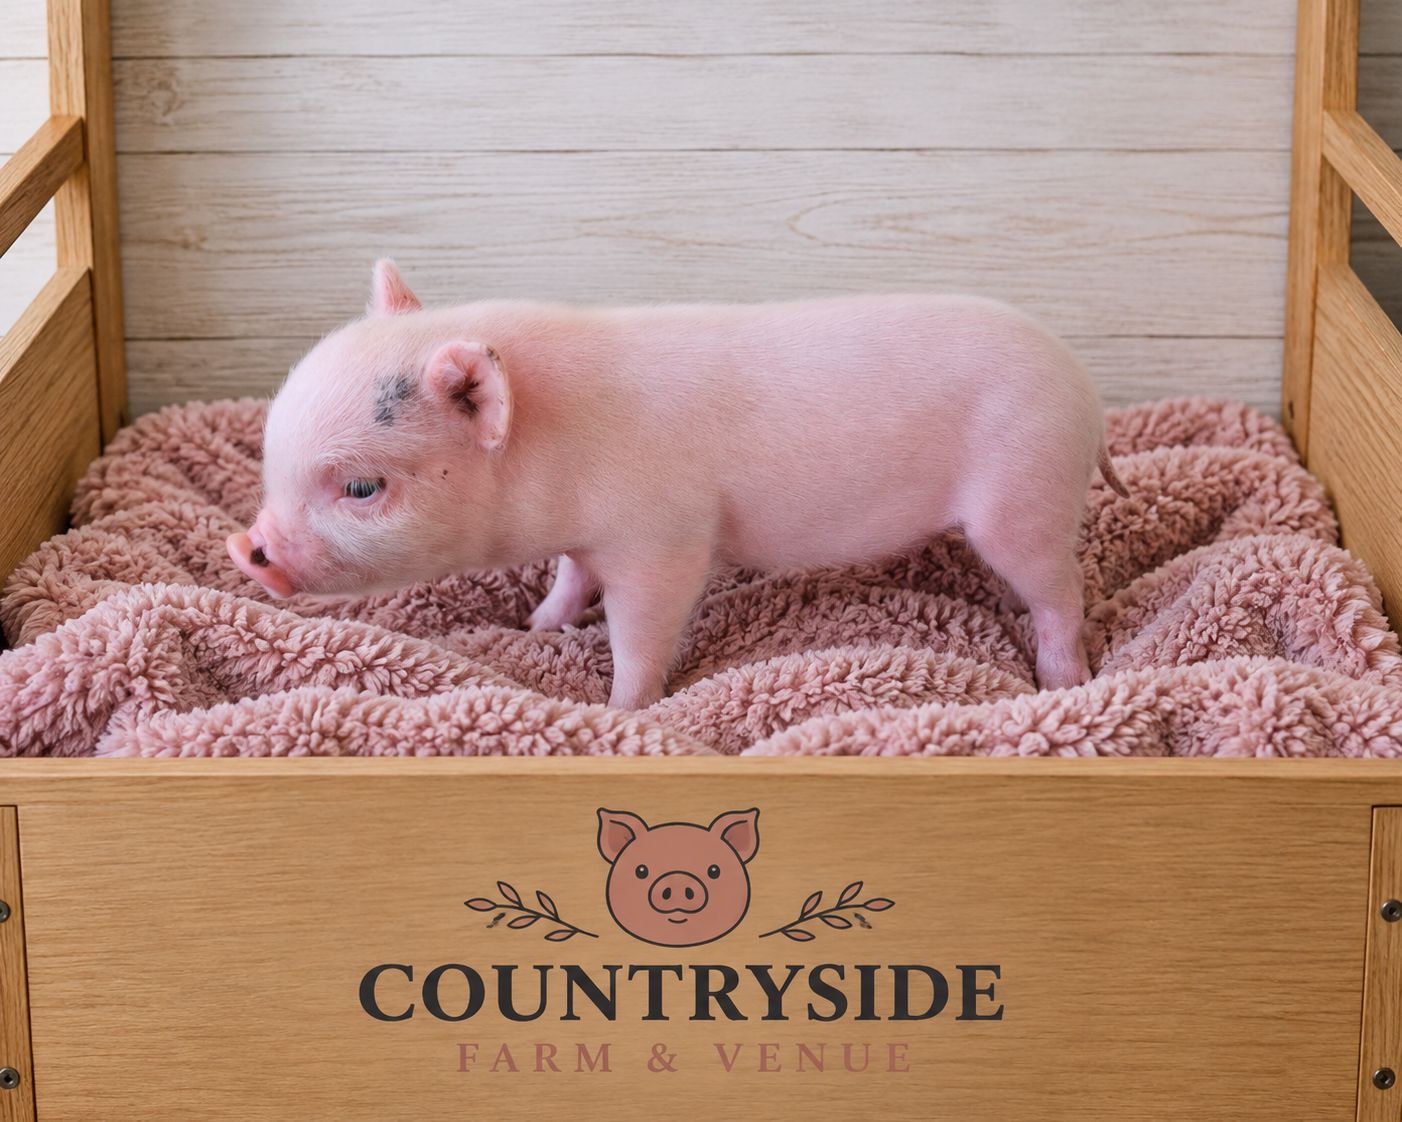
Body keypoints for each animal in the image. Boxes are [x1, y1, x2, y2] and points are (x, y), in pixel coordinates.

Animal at [228, 261, 1128, 708]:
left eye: (362, 489)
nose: (247, 550)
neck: (556, 444)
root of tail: (1083, 387)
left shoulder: (662, 538)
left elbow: (642, 630)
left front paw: (621, 712)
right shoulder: (587, 537)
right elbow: (569, 578)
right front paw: (536, 626)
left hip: (1025, 491)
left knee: (1064, 590)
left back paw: (1062, 682)